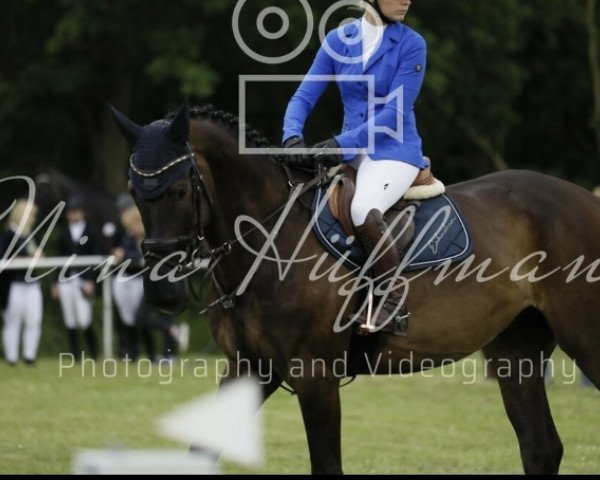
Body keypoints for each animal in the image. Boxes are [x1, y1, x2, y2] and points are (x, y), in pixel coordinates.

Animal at [110, 103, 596, 474]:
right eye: (132, 190)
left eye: (177, 190)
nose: (162, 293)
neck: (269, 243)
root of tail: (585, 199)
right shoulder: (249, 369)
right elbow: (202, 450)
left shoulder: (316, 376)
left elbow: (327, 465)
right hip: (515, 351)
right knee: (540, 447)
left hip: (582, 338)